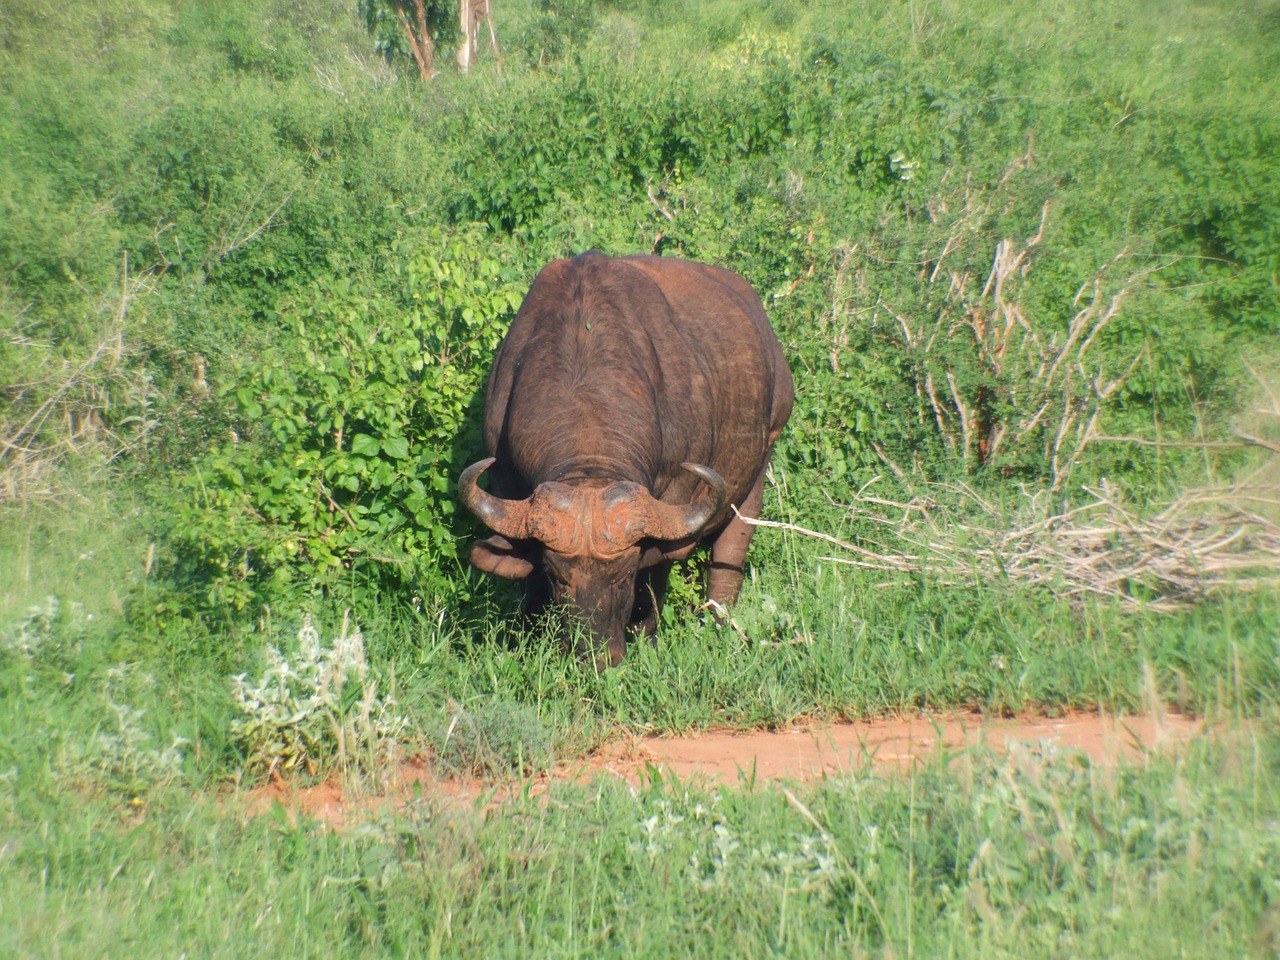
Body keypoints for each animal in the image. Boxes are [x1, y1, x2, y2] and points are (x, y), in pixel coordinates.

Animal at [460, 252, 793, 665]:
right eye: (557, 576)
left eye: (624, 575)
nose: (595, 654)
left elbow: (655, 581)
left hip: (759, 467)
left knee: (730, 554)